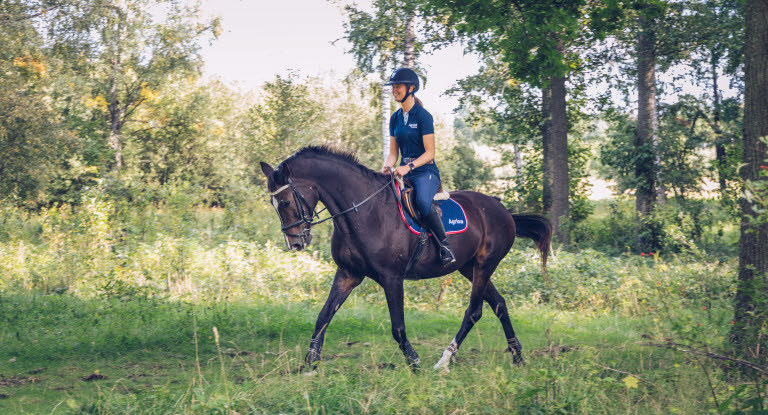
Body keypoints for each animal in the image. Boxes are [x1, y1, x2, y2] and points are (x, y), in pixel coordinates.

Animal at [260, 146, 548, 374]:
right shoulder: (348, 274)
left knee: (474, 311)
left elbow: (397, 327)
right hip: (470, 268)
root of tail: (503, 210)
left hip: (484, 265)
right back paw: (518, 357)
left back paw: (444, 360)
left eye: (285, 202)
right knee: (499, 304)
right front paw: (310, 363)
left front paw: (414, 362)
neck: (362, 212)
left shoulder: (392, 278)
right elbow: (323, 317)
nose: (295, 244)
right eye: (274, 204)